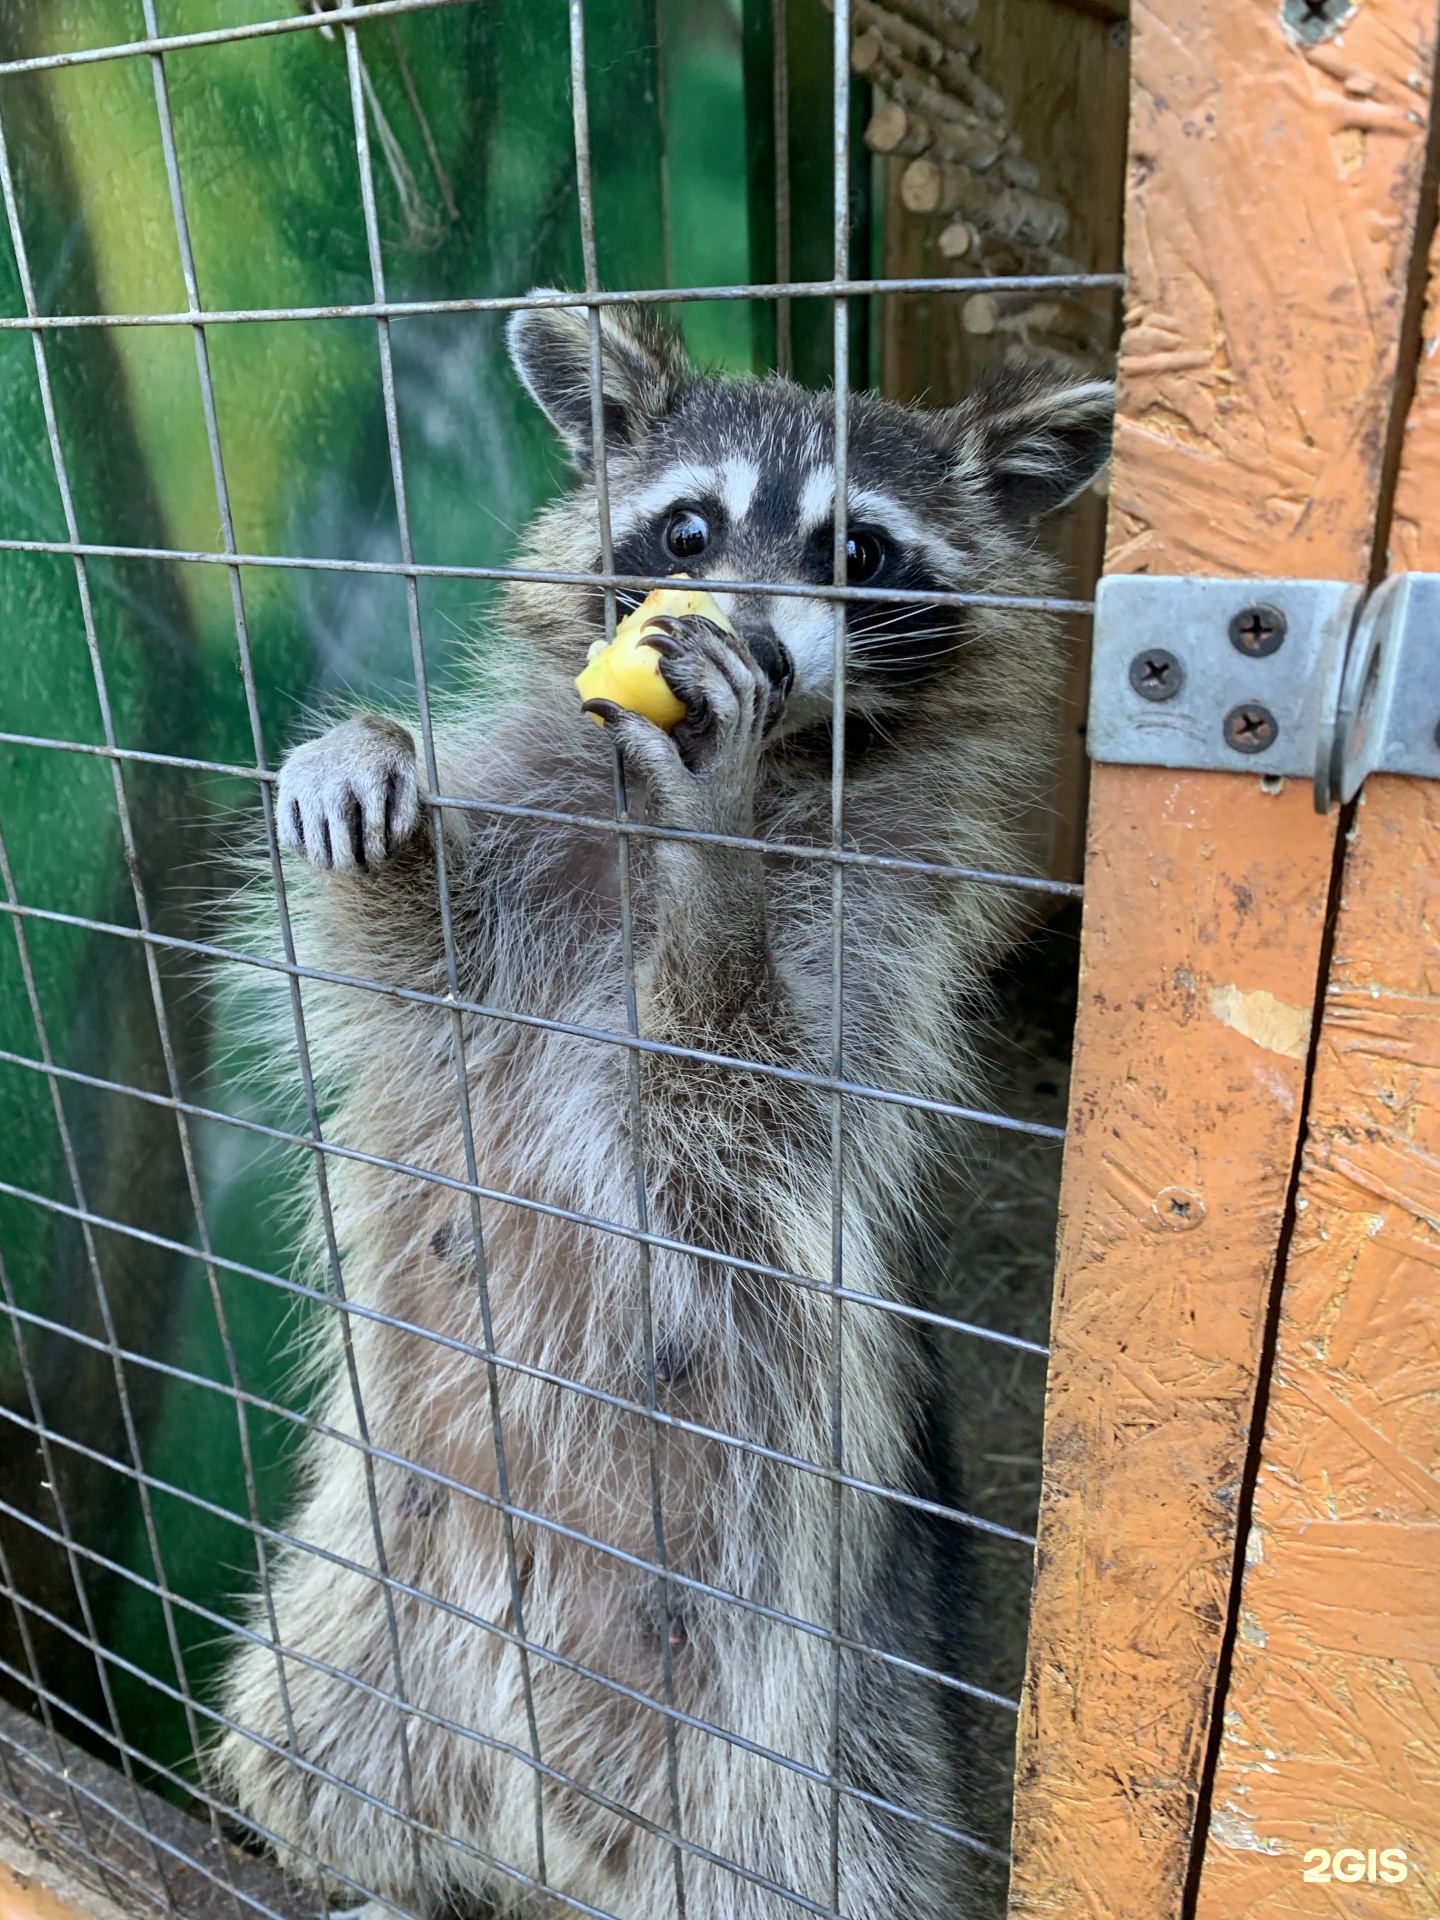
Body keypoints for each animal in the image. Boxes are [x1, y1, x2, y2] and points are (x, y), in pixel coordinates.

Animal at [214, 299, 1113, 1920]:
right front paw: (367, 775)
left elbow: (738, 1080)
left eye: (861, 549)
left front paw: (711, 877)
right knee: (312, 1742)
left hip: (809, 1748)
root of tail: (550, 1836)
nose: (744, 644)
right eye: (688, 527)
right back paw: (392, 1866)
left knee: (818, 1858)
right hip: (359, 1621)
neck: (794, 758)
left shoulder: (878, 953)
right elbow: (421, 965)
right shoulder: (529, 861)